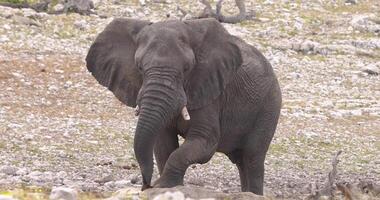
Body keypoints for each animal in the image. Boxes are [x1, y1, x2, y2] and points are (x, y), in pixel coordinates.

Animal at [87, 17, 282, 195]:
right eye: (139, 67)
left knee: (252, 158)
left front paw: (163, 185)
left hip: (269, 105)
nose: (145, 185)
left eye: (187, 69)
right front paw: (166, 186)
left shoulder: (209, 91)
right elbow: (163, 143)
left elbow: (205, 142)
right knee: (242, 161)